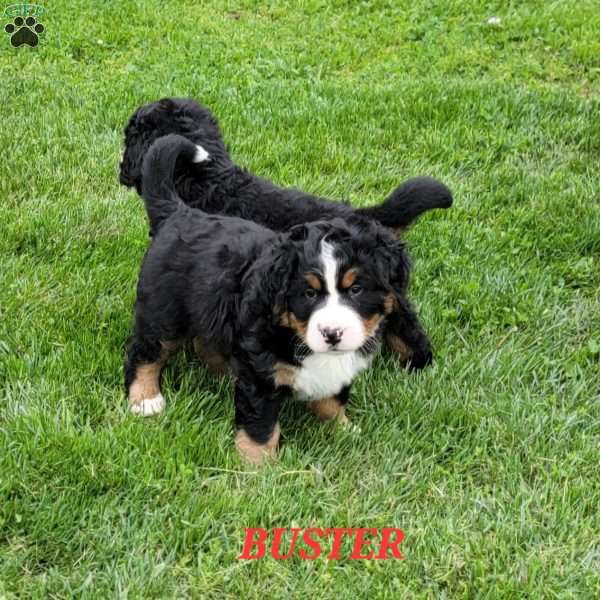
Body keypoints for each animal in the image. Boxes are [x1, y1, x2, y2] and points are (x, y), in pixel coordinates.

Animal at [127, 135, 412, 464]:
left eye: (356, 290)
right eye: (309, 293)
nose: (332, 333)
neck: (294, 333)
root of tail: (179, 213)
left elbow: (332, 400)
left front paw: (343, 430)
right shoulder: (261, 375)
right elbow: (260, 426)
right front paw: (256, 466)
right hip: (163, 313)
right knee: (145, 352)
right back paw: (145, 399)